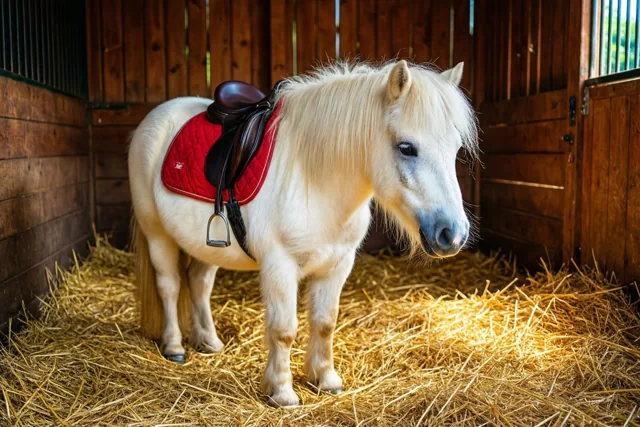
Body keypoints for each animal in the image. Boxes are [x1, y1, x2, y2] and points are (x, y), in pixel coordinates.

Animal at [127, 59, 478, 407]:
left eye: (456, 148)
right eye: (406, 148)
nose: (452, 234)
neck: (314, 180)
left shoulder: (337, 265)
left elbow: (325, 323)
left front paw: (325, 379)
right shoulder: (279, 266)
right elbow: (284, 329)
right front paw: (282, 392)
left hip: (207, 245)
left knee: (199, 283)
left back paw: (209, 341)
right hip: (157, 234)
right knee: (170, 286)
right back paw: (174, 347)